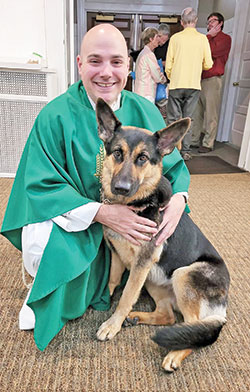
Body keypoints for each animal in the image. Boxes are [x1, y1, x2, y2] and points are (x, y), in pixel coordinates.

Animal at [95, 99, 230, 374]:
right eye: (117, 153)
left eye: (143, 158)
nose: (121, 188)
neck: (131, 206)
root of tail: (223, 308)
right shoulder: (118, 255)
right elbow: (113, 280)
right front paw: (108, 298)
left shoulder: (141, 264)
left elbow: (126, 296)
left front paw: (113, 323)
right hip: (153, 279)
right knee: (168, 316)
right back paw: (136, 317)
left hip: (182, 274)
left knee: (192, 326)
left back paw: (175, 352)